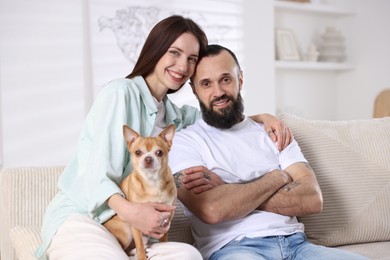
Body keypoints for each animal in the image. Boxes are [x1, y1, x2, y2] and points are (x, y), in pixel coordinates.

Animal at [103, 124, 177, 260]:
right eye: (138, 152)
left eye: (159, 152)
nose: (148, 158)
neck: (152, 182)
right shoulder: (137, 222)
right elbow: (140, 244)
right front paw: (142, 256)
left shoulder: (165, 222)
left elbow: (164, 240)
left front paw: (165, 246)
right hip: (126, 231)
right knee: (124, 248)